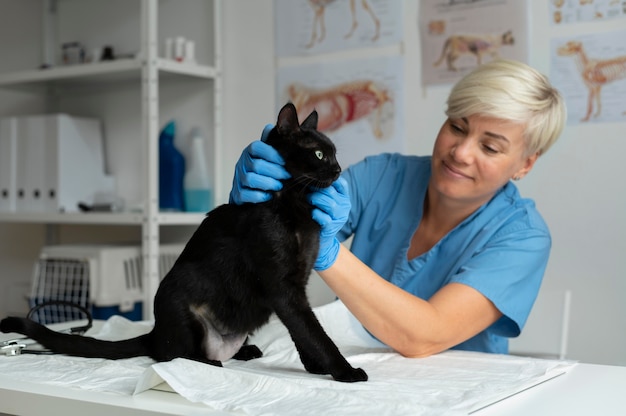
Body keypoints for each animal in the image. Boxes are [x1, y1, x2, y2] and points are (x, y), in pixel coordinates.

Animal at [0, 103, 368, 384]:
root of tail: (155, 331)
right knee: (172, 356)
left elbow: (303, 333)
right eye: (319, 154)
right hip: (181, 302)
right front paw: (343, 371)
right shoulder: (284, 289)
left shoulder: (297, 285)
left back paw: (245, 350)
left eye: (334, 154)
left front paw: (316, 367)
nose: (338, 169)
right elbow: (314, 333)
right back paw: (209, 362)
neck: (296, 207)